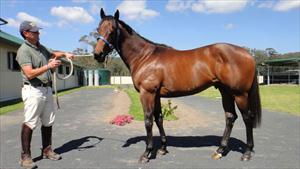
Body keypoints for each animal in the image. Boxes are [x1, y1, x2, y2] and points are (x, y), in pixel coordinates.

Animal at [94, 8, 260, 163]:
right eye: (98, 28)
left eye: (112, 30)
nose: (97, 54)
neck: (144, 56)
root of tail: (246, 53)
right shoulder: (156, 95)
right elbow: (159, 118)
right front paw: (162, 148)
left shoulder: (147, 93)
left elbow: (148, 120)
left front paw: (147, 153)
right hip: (225, 91)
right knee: (230, 117)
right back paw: (220, 150)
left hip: (240, 94)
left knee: (247, 118)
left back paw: (246, 153)